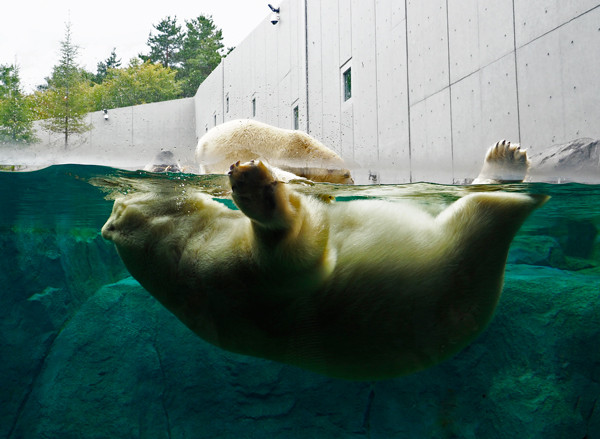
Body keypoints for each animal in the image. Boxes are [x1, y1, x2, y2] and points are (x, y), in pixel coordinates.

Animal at [102, 142, 544, 382]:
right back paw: (506, 167)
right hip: (462, 266)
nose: (164, 152)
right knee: (485, 213)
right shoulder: (222, 278)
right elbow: (296, 256)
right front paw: (254, 184)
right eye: (157, 167)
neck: (177, 245)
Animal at [195, 118, 354, 184]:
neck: (304, 150)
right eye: (346, 174)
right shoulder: (288, 157)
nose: (353, 182)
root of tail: (203, 144)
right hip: (226, 151)